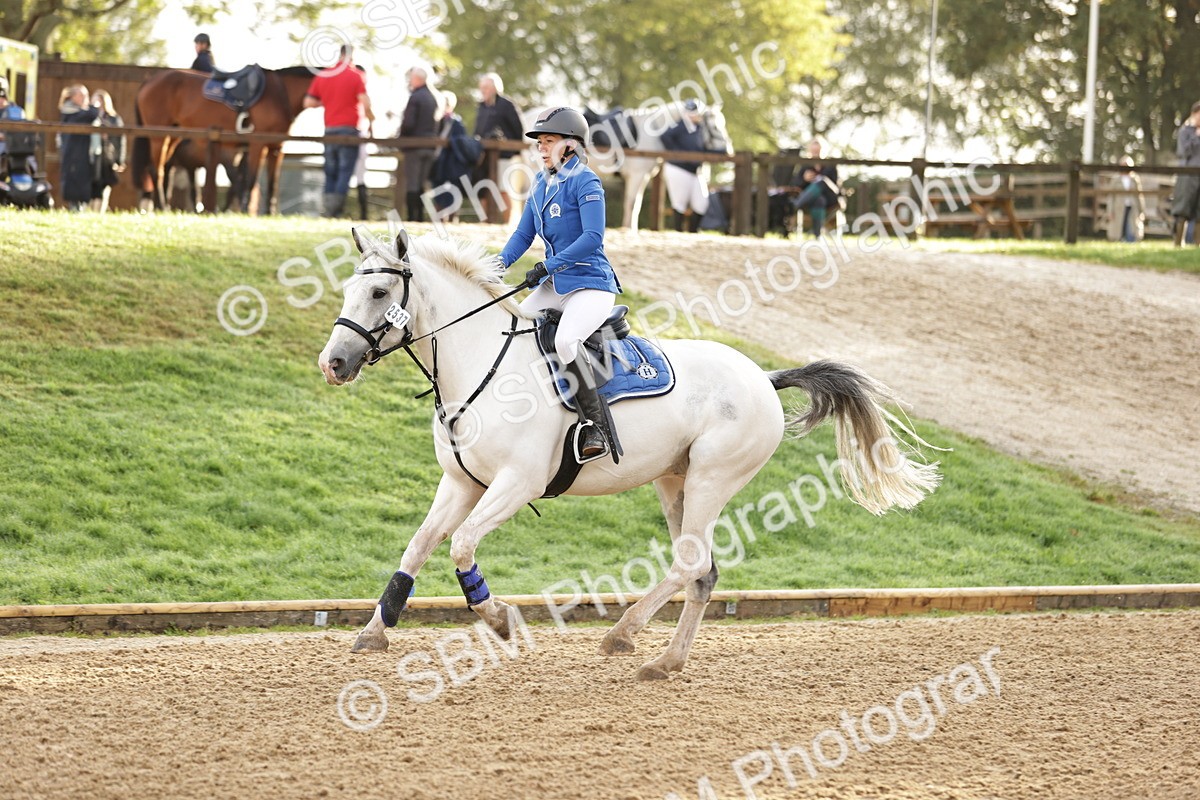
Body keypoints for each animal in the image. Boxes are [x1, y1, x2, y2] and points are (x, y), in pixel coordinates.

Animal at [131, 66, 313, 214]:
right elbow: (250, 179)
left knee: (162, 169)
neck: (280, 93)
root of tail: (149, 81)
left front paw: (270, 213)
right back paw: (162, 206)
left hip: (173, 135)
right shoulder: (257, 144)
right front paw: (245, 209)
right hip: (158, 136)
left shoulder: (276, 148)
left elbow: (272, 183)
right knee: (156, 170)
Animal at [317, 227, 942, 681]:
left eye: (379, 293)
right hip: (675, 482)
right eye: (349, 292)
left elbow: (462, 545)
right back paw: (660, 656)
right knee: (702, 571)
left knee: (690, 562)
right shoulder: (461, 483)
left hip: (713, 478)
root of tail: (763, 377)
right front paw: (375, 630)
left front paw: (499, 621)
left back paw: (631, 638)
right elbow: (419, 546)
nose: (334, 363)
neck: (478, 366)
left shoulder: (516, 483)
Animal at [519, 102, 734, 232]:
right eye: (714, 127)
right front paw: (628, 228)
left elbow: (635, 203)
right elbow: (631, 202)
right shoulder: (636, 175)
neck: (651, 133)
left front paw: (631, 228)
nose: (728, 152)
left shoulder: (643, 177)